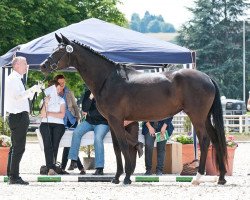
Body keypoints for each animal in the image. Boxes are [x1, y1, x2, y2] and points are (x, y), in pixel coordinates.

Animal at [40, 33, 229, 185]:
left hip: (197, 116)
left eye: (59, 51)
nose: (43, 66)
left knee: (205, 140)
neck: (108, 79)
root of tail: (207, 78)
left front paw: (126, 177)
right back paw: (221, 178)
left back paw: (197, 177)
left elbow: (124, 145)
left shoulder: (116, 120)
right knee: (216, 139)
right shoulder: (112, 122)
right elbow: (117, 148)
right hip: (205, 117)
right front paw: (117, 177)